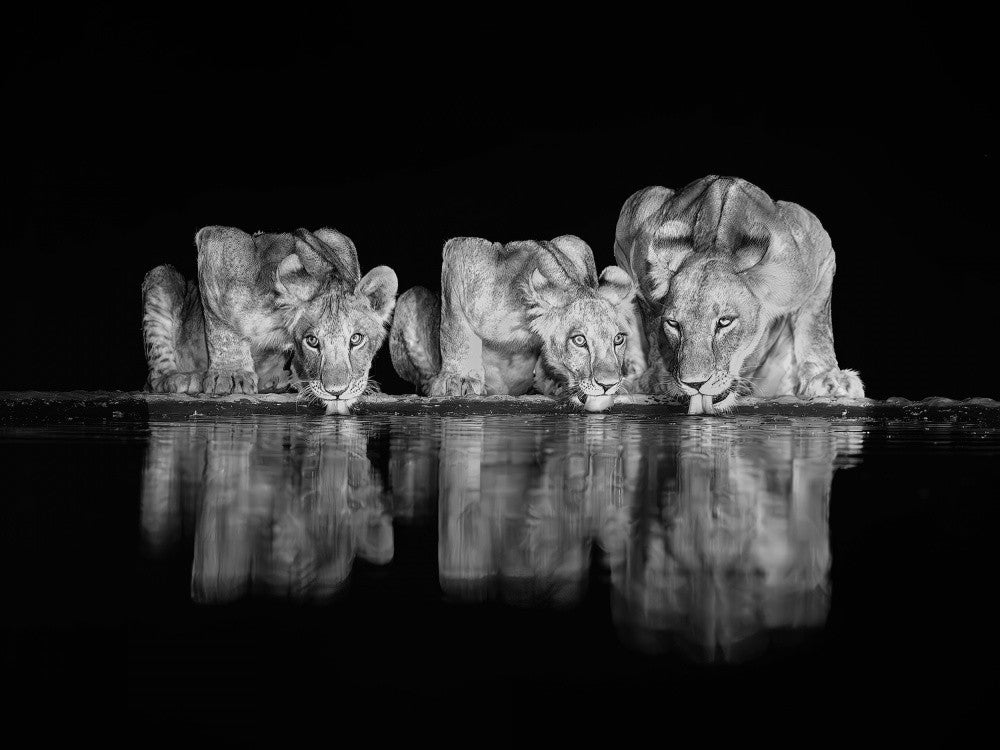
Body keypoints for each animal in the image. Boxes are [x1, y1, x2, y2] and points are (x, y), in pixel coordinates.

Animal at [141, 226, 398, 415]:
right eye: (312, 341)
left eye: (356, 339)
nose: (337, 391)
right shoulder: (218, 243)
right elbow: (221, 326)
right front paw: (232, 375)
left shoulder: (336, 238)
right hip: (161, 277)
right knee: (155, 376)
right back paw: (180, 378)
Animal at [389, 235, 645, 412]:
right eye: (579, 340)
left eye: (618, 339)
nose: (609, 384)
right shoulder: (463, 253)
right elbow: (455, 329)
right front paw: (458, 379)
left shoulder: (576, 246)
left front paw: (554, 379)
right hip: (410, 297)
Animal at [615, 176, 864, 415]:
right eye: (674, 324)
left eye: (725, 322)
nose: (694, 384)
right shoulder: (635, 230)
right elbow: (652, 330)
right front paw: (658, 377)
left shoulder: (816, 252)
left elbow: (816, 324)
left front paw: (828, 378)